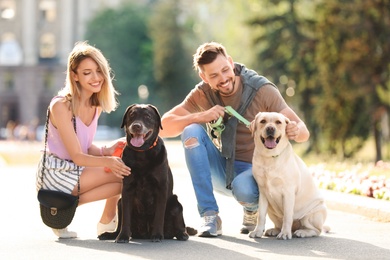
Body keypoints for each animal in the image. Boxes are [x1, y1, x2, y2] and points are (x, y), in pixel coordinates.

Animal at [248, 111, 328, 240]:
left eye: (278, 122)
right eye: (263, 121)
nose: (270, 128)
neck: (269, 158)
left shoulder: (288, 192)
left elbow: (287, 215)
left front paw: (285, 233)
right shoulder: (263, 192)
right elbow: (261, 215)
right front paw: (258, 231)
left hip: (311, 214)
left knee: (317, 230)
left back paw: (301, 232)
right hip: (272, 211)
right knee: (279, 223)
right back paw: (274, 230)